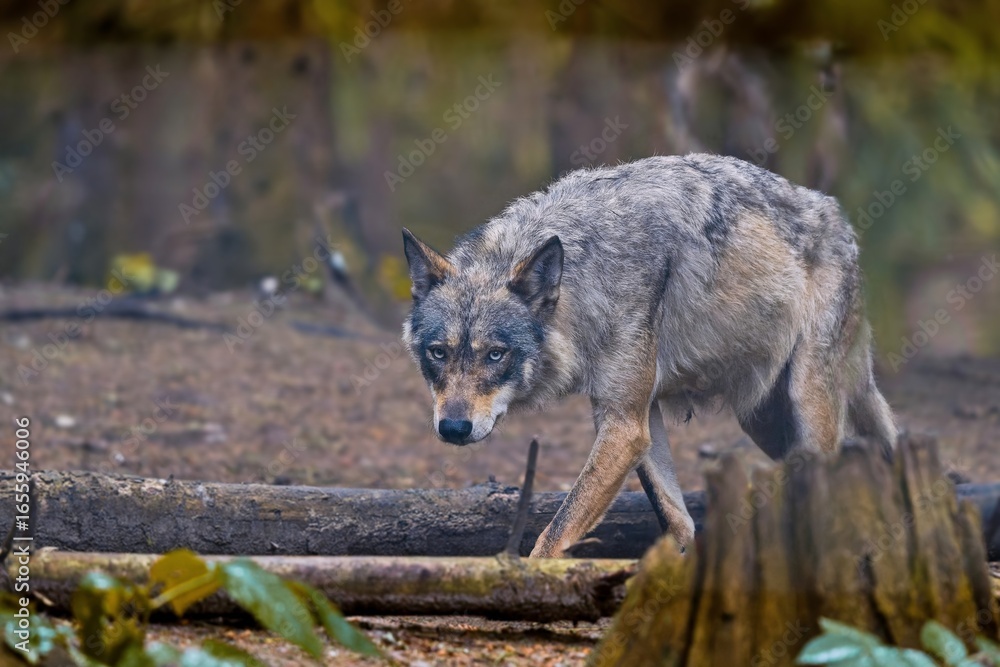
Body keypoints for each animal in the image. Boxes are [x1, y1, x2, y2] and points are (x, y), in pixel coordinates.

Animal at [402, 154, 897, 557]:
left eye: (495, 355)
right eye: (439, 353)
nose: (454, 428)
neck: (589, 274)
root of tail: (835, 214)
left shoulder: (625, 426)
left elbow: (553, 535)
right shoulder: (635, 417)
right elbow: (676, 519)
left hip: (806, 404)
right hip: (764, 422)